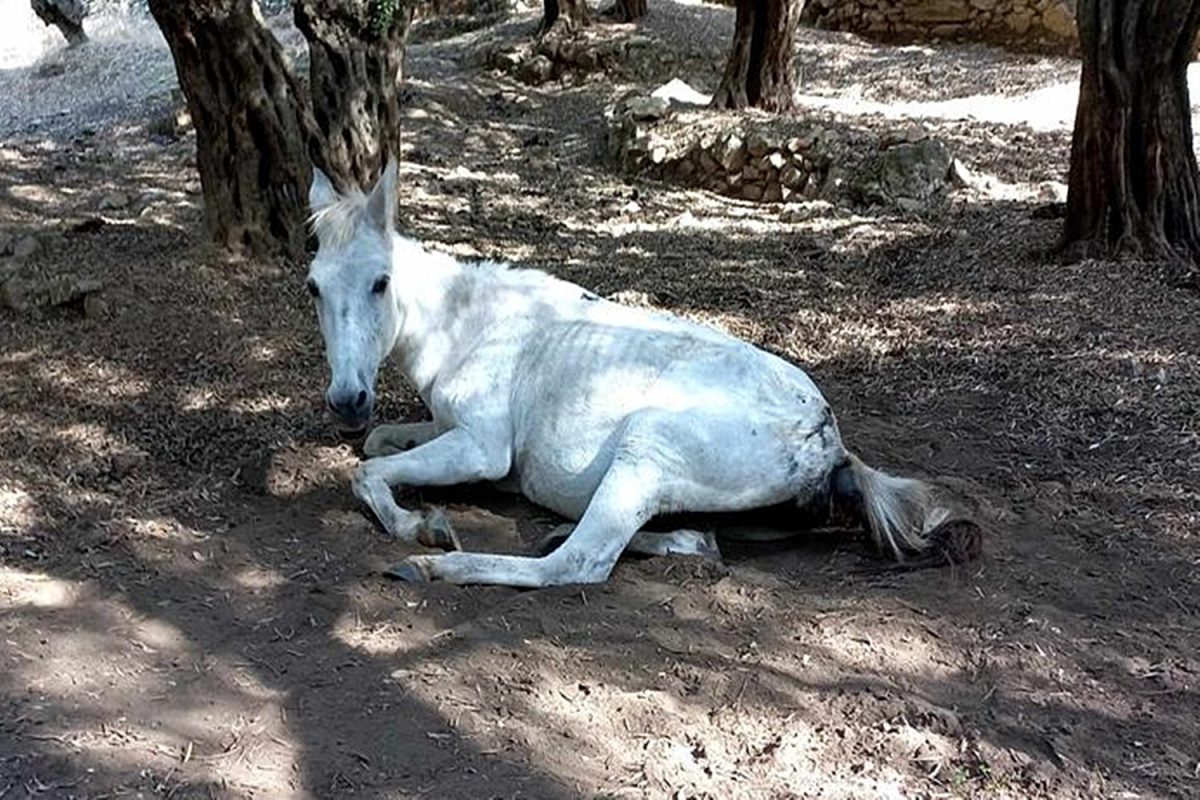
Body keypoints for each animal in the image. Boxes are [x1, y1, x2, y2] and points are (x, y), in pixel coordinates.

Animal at [304, 163, 969, 587]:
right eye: (313, 286)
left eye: (381, 282)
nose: (347, 399)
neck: (471, 324)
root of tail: (831, 445)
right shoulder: (444, 429)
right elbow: (377, 444)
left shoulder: (481, 449)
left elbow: (367, 471)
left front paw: (421, 526)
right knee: (696, 543)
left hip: (643, 449)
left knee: (580, 563)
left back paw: (436, 566)